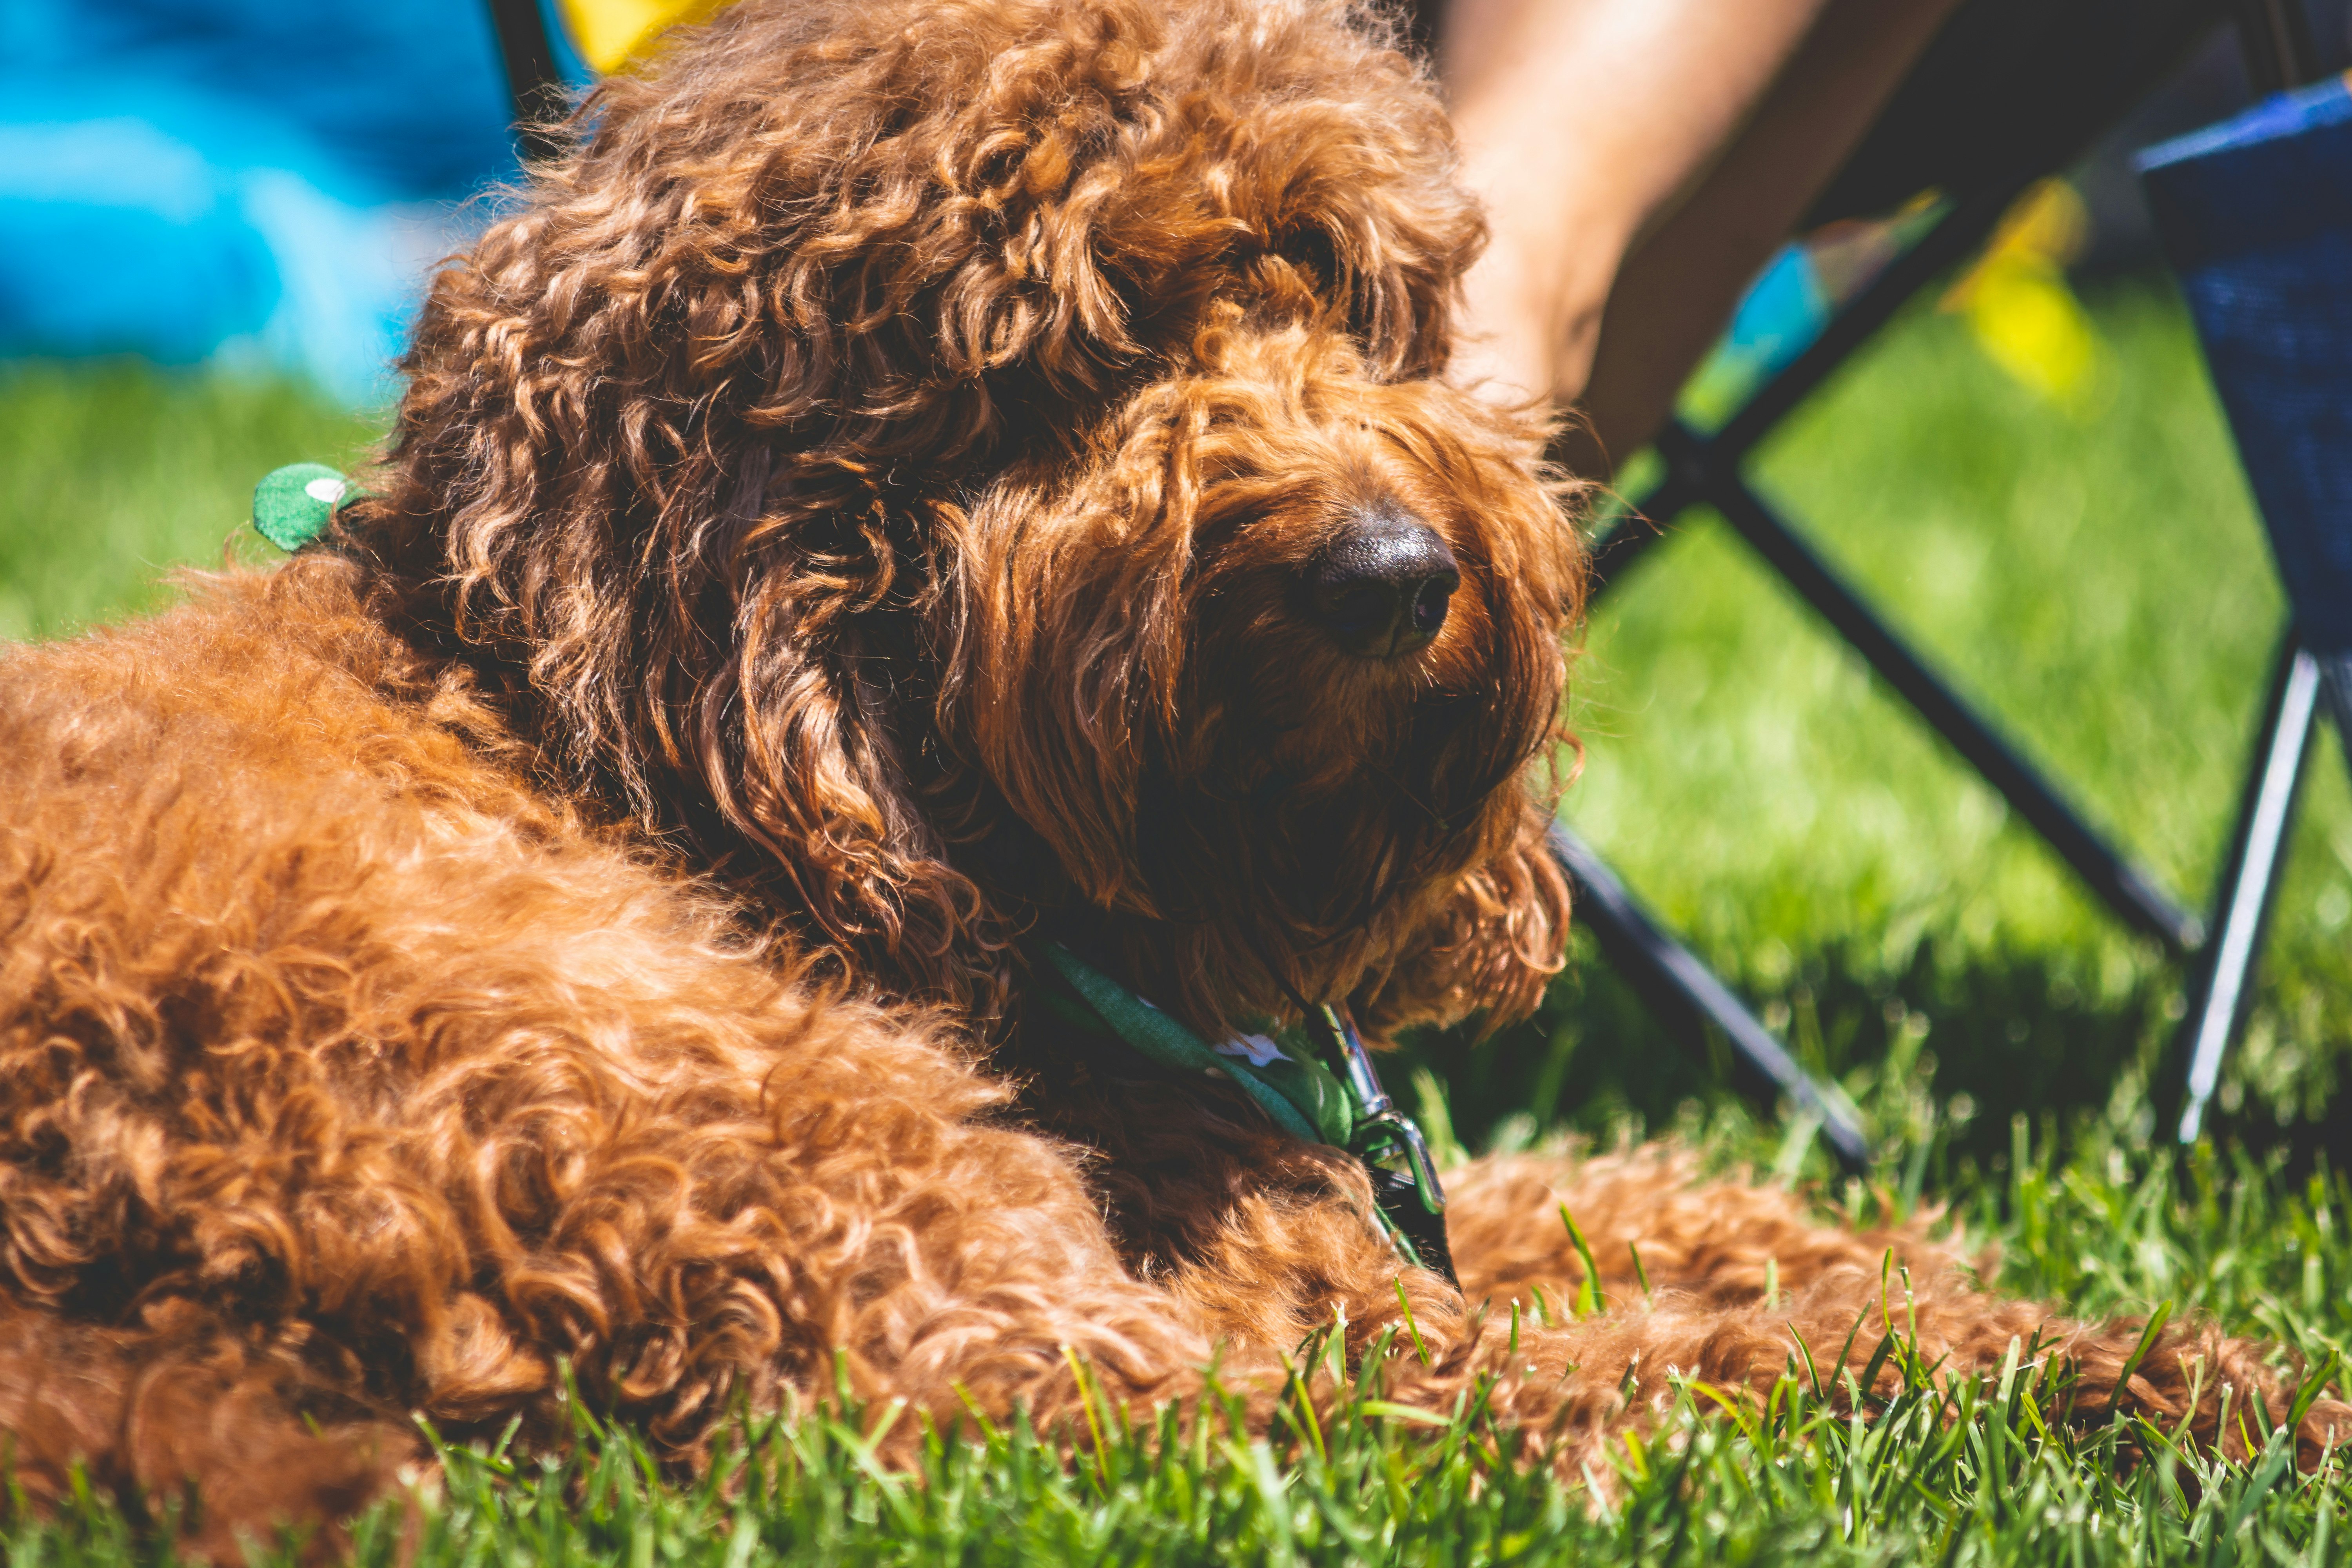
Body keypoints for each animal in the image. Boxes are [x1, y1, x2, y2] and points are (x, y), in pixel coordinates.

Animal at [0, 0, 2343, 1552]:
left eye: (1339, 289)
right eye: (1067, 356)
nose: (1394, 574)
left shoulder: (1323, 1185)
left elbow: (1639, 1201)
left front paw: (1937, 1254)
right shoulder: (1229, 1250)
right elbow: (1671, 1330)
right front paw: (2104, 1363)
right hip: (760, 1140)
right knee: (1251, 1423)